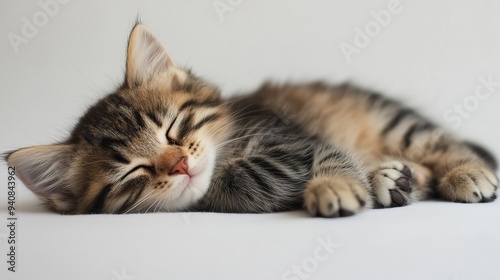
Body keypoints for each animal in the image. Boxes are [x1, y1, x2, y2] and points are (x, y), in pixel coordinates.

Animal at [5, 24, 498, 217]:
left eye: (174, 127)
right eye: (133, 171)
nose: (179, 164)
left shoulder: (296, 137)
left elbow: (325, 158)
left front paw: (332, 186)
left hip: (393, 121)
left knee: (441, 142)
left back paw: (465, 173)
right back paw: (396, 178)